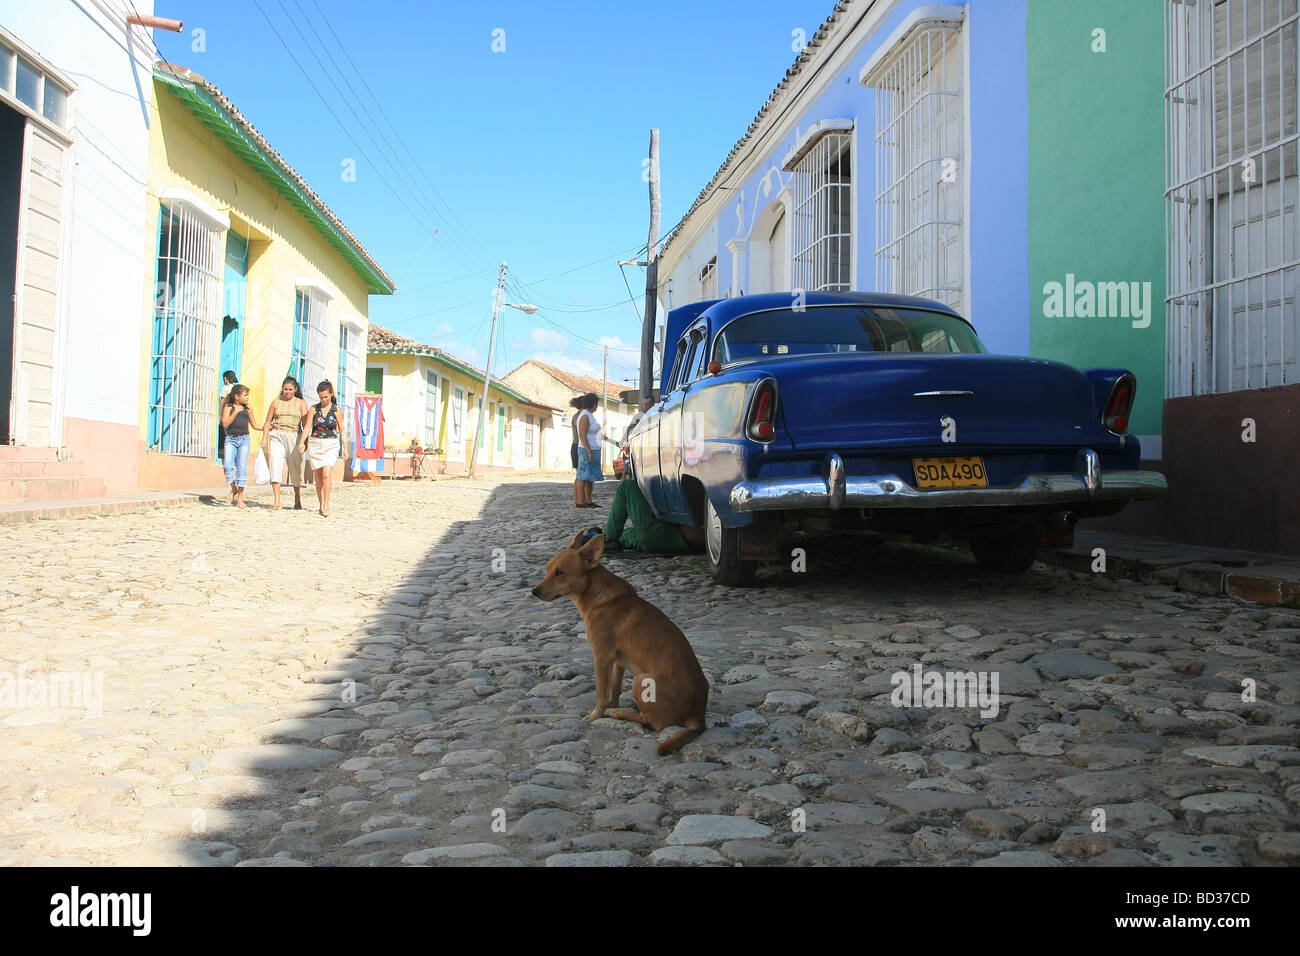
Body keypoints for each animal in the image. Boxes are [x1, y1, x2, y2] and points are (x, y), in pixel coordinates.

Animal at [530, 530, 712, 754]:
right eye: (548, 569)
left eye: (560, 573)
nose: (533, 591)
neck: (598, 597)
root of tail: (698, 718)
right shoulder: (617, 661)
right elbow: (614, 688)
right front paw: (612, 704)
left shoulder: (601, 658)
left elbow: (600, 691)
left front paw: (596, 715)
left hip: (641, 680)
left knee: (654, 723)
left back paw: (621, 714)